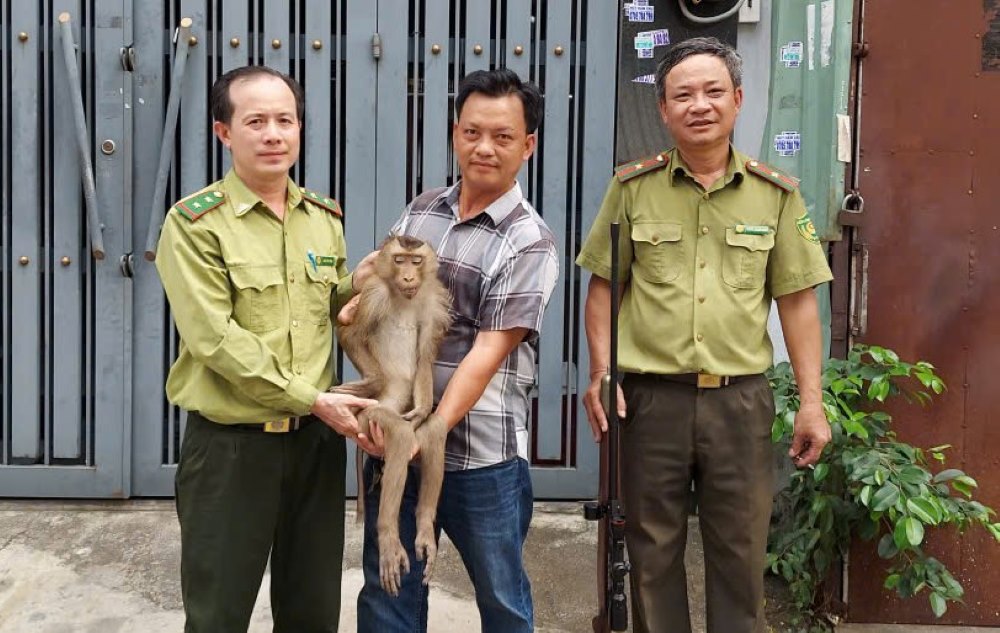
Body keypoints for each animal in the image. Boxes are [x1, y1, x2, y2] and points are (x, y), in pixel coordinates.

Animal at [332, 235, 452, 596]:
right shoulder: (374, 294)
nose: (409, 277)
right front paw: (368, 382)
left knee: (432, 430)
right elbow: (349, 333)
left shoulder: (431, 302)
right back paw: (388, 537)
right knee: (398, 436)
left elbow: (426, 354)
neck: (403, 297)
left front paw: (424, 408)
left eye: (416, 261)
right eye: (399, 260)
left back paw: (424, 525)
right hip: (373, 416)